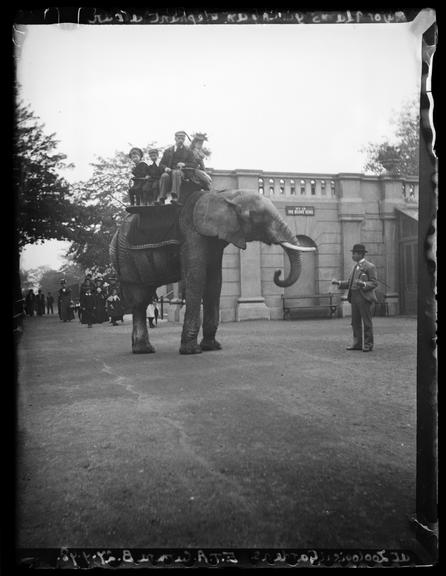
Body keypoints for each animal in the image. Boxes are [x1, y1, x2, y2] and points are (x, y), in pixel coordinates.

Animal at [110, 187, 316, 354]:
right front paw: (191, 351)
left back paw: (143, 349)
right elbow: (196, 278)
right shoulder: (192, 234)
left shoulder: (216, 242)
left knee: (142, 299)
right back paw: (143, 349)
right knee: (139, 300)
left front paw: (212, 347)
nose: (278, 273)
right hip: (126, 259)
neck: (224, 195)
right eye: (259, 217)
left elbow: (215, 282)